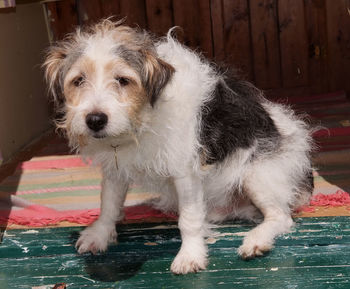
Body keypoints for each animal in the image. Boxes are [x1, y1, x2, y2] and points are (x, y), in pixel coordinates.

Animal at [42, 19, 314, 274]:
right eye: (79, 80)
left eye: (123, 80)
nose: (95, 120)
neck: (144, 120)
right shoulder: (115, 169)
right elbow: (108, 204)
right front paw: (99, 235)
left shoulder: (185, 171)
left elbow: (189, 219)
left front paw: (190, 255)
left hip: (256, 175)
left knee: (281, 217)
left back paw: (255, 241)